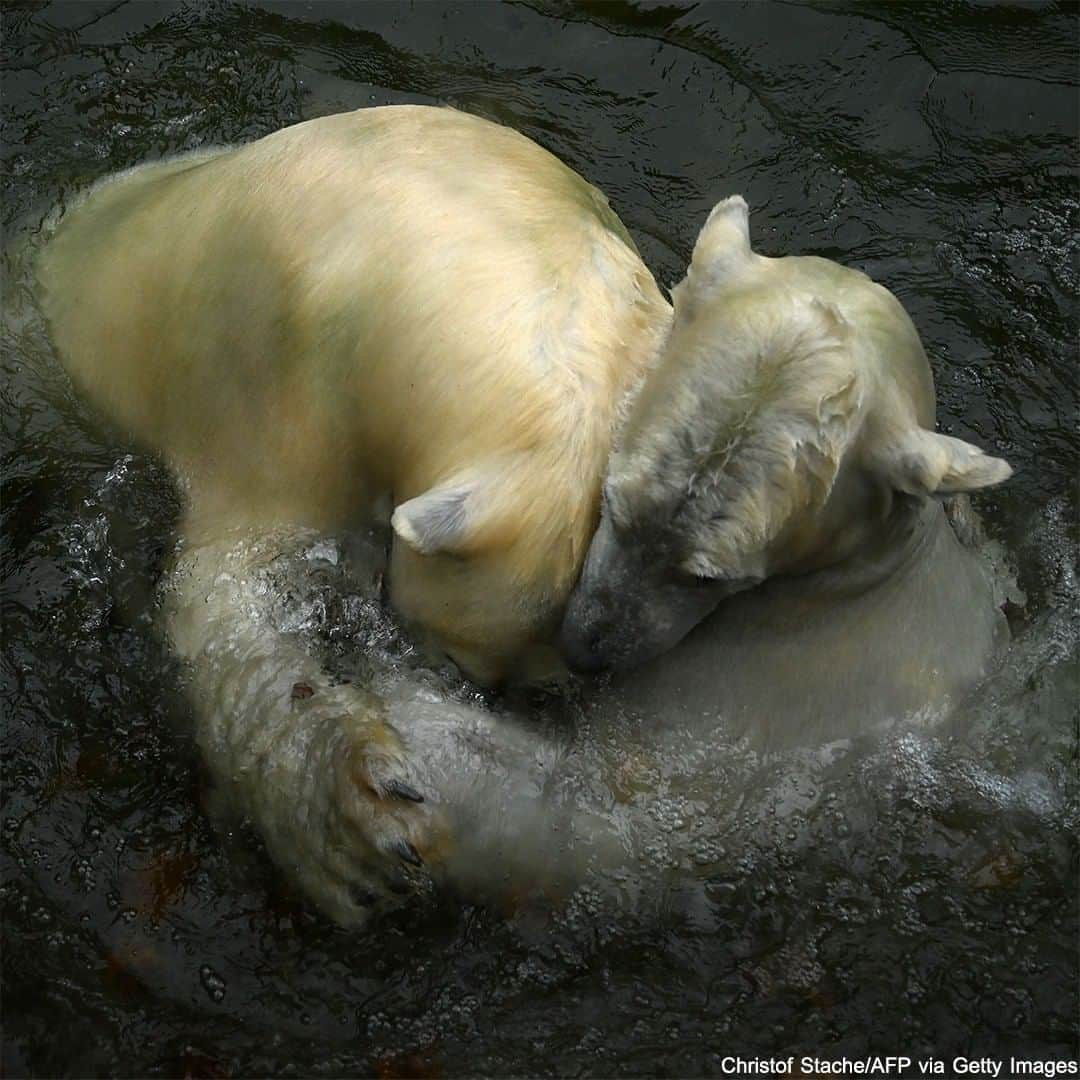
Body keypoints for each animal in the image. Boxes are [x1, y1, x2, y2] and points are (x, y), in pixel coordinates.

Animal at [35, 105, 1010, 924]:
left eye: (526, 680)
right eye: (616, 510)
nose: (581, 654)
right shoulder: (265, 380)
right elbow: (243, 591)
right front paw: (358, 816)